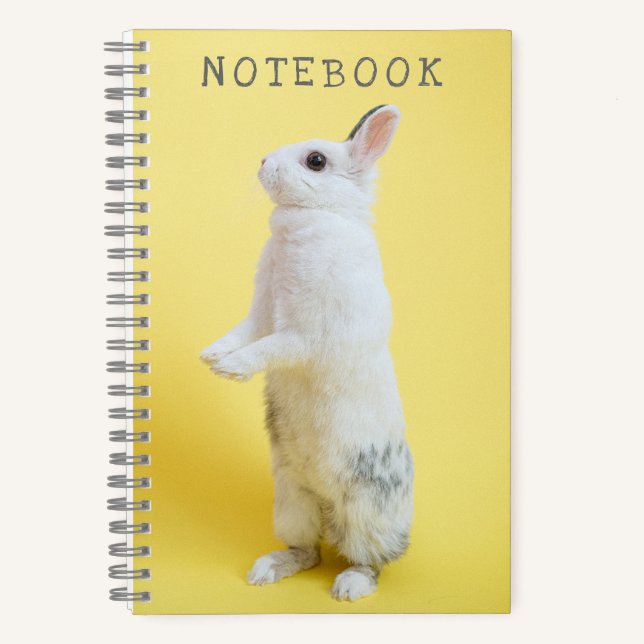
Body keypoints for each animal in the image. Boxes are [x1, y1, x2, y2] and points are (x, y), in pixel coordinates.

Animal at [200, 105, 413, 601]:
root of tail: (328, 505)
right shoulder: (261, 311)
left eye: (316, 161)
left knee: (372, 560)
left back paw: (349, 586)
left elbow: (272, 347)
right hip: (291, 499)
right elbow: (244, 331)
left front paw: (232, 369)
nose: (262, 161)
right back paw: (268, 568)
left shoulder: (307, 334)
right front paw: (212, 356)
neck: (314, 216)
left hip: (367, 512)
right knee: (308, 551)